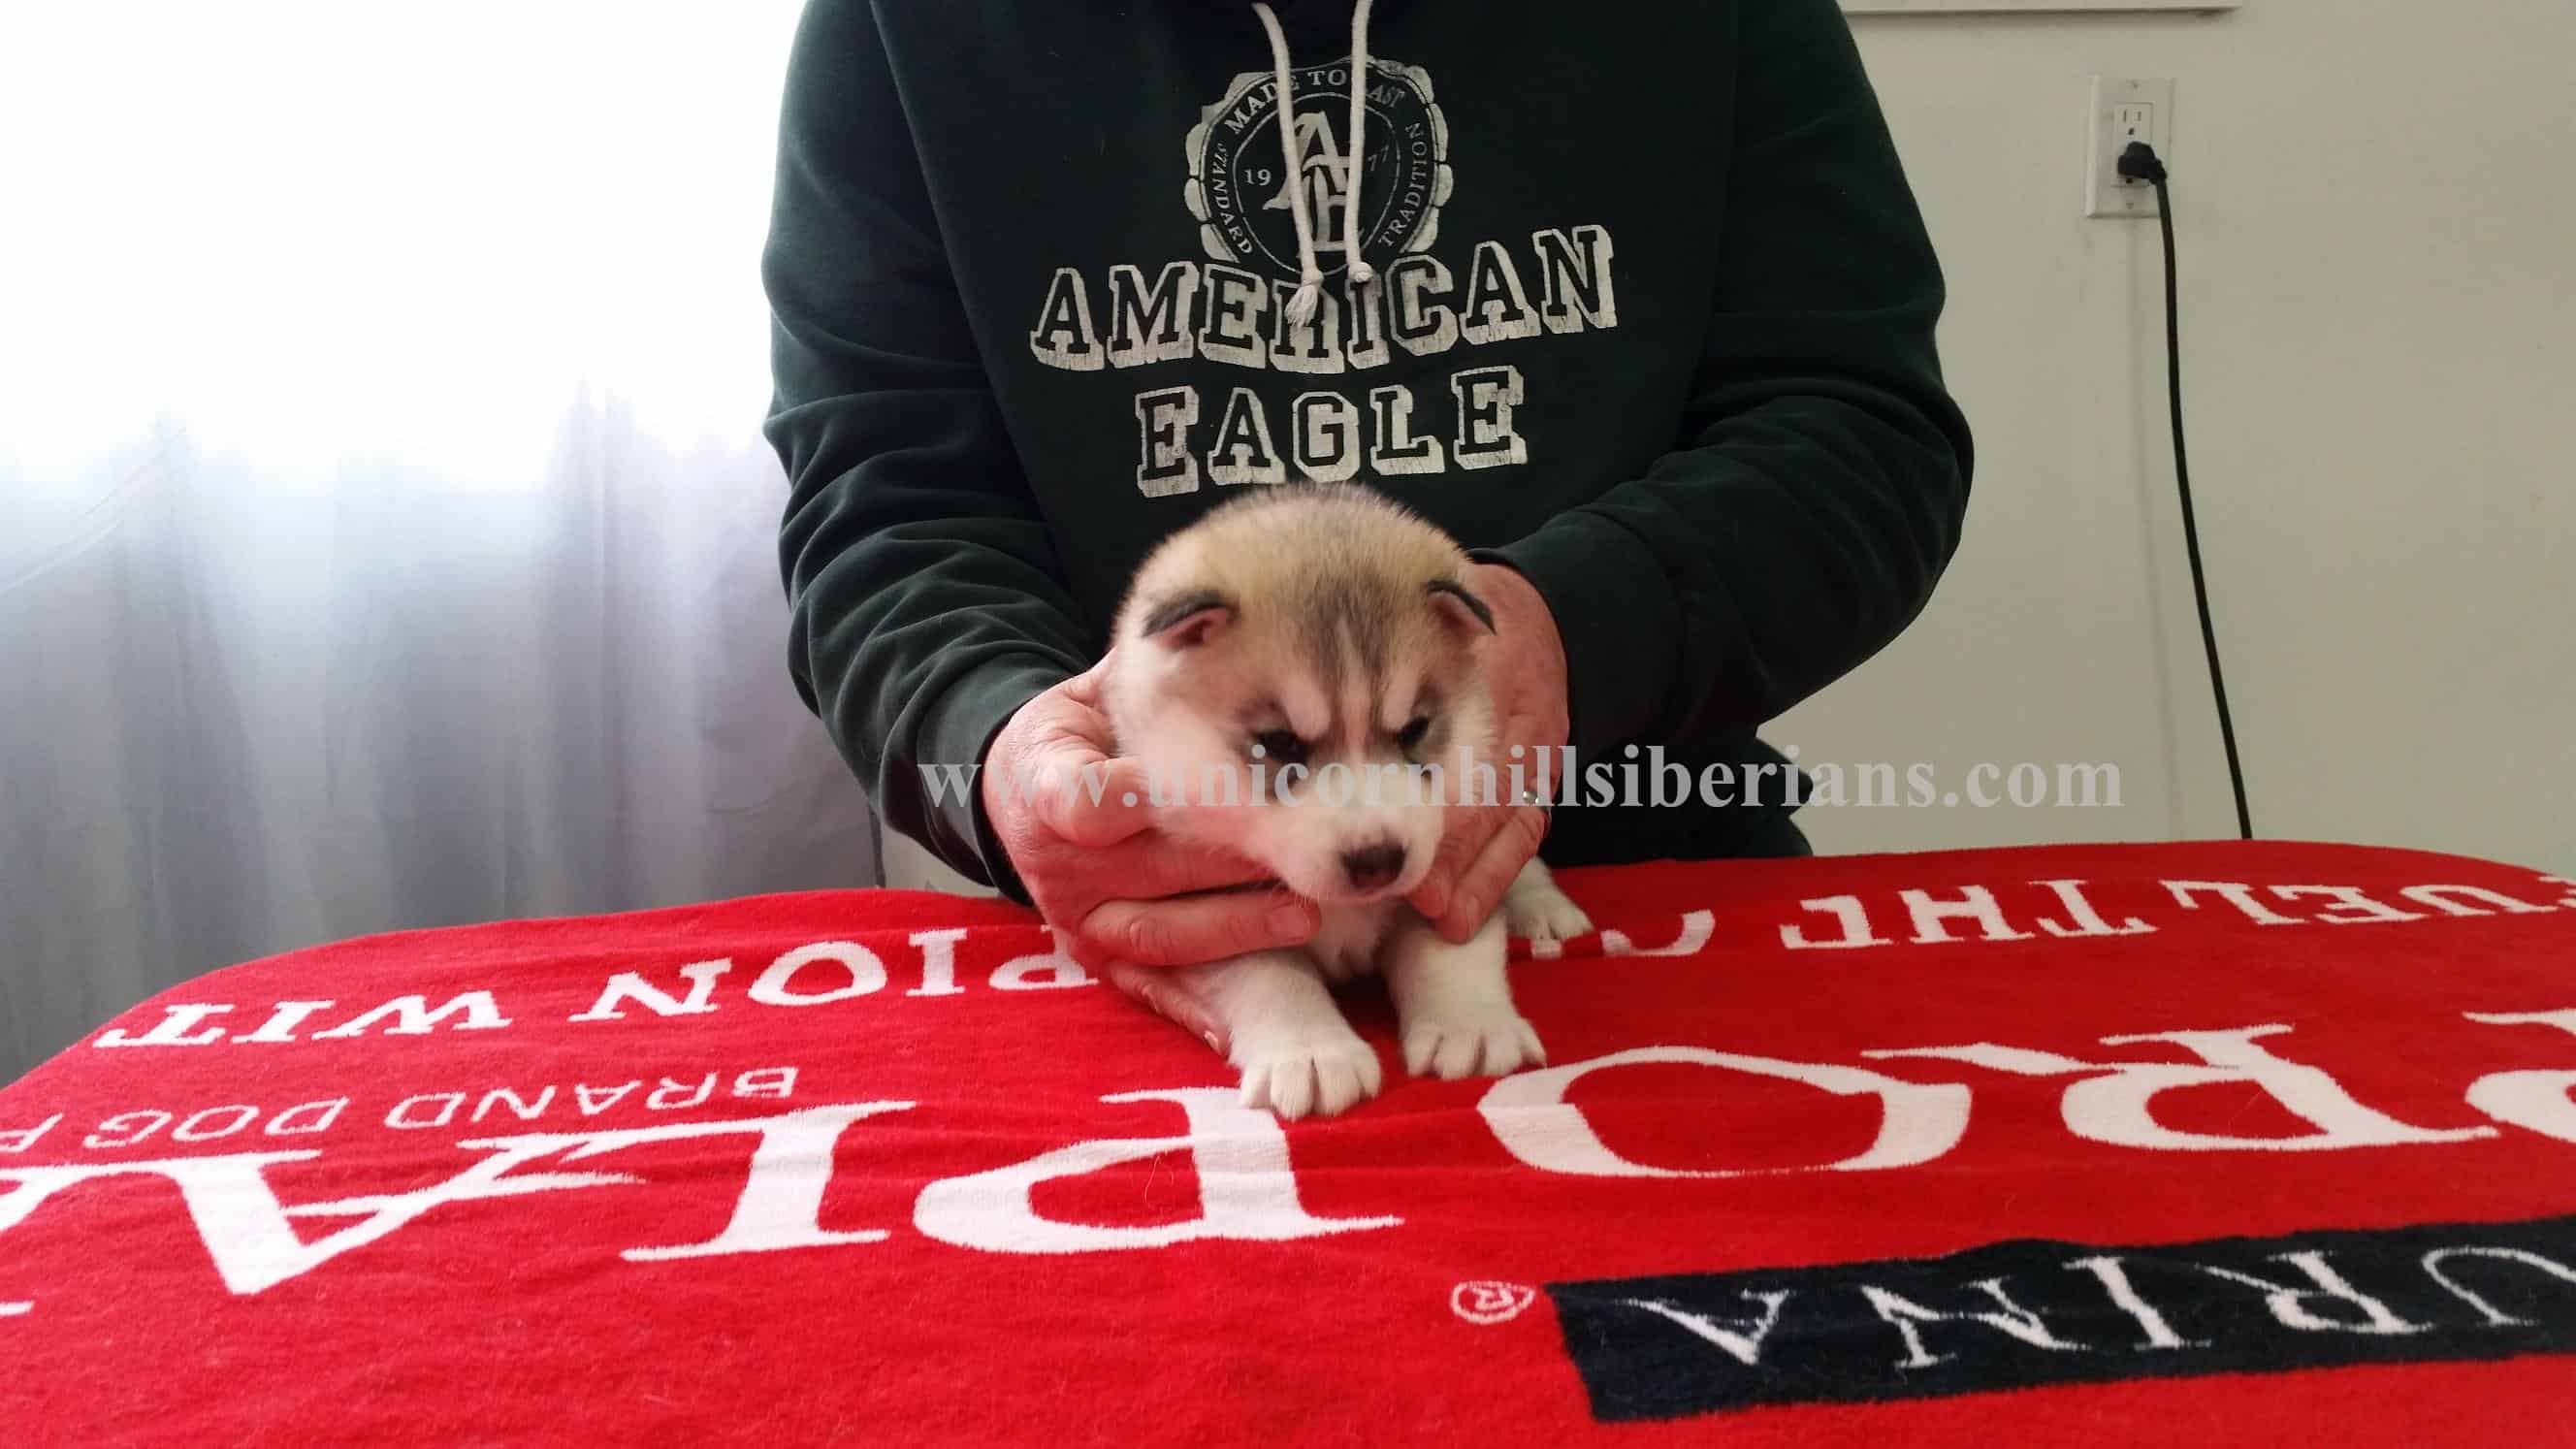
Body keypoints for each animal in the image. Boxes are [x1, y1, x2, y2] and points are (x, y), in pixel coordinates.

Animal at [1099, 483, 1593, 1119]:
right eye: (1281, 742)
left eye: (1413, 730)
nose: (1378, 861)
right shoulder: (1204, 909)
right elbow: (1267, 973)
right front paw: (1311, 1052)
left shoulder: (1450, 869)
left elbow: (1449, 945)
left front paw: (1473, 1027)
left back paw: (1545, 908)